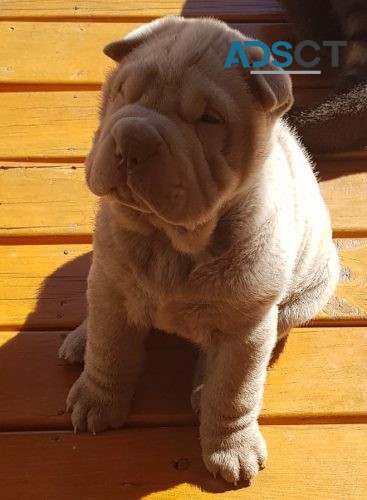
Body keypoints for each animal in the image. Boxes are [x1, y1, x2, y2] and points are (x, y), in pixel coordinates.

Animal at [59, 15, 340, 484]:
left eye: (209, 119)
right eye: (125, 92)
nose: (133, 137)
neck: (169, 242)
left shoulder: (248, 328)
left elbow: (234, 392)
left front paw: (232, 448)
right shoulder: (113, 286)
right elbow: (110, 349)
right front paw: (97, 399)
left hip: (303, 299)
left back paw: (201, 384)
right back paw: (81, 337)